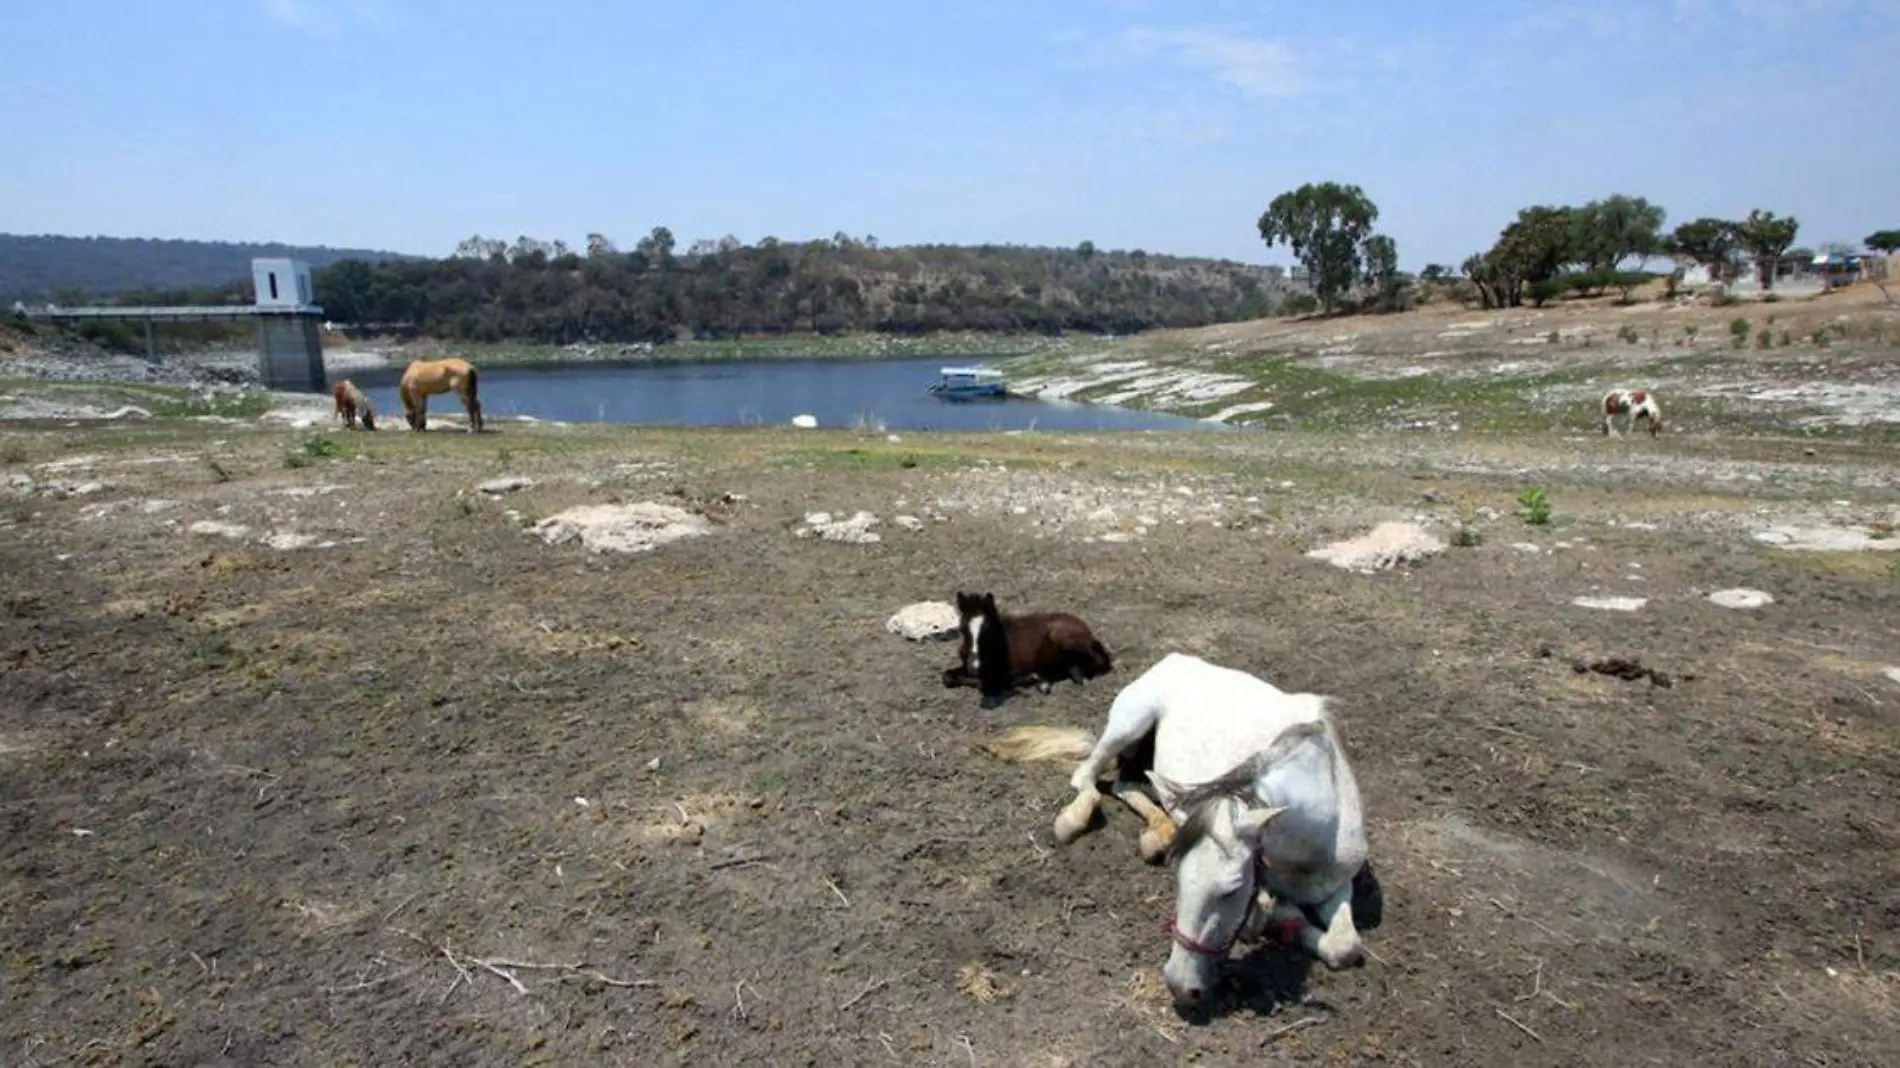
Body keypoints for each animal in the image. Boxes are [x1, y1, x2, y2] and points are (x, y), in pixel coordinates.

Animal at [938, 585, 1109, 703]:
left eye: (987, 630)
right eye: (963, 628)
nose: (974, 667)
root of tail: (1087, 631)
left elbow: (988, 682)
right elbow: (948, 677)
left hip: (1062, 638)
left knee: (1092, 662)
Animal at [980, 649, 1383, 1003]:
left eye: (1231, 889)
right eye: (1179, 880)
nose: (1178, 984)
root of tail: (1176, 660)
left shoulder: (1338, 884)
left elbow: (1345, 945)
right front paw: (1278, 914)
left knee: (1126, 785)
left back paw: (1159, 834)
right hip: (1128, 725)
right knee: (1086, 777)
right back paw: (1075, 819)